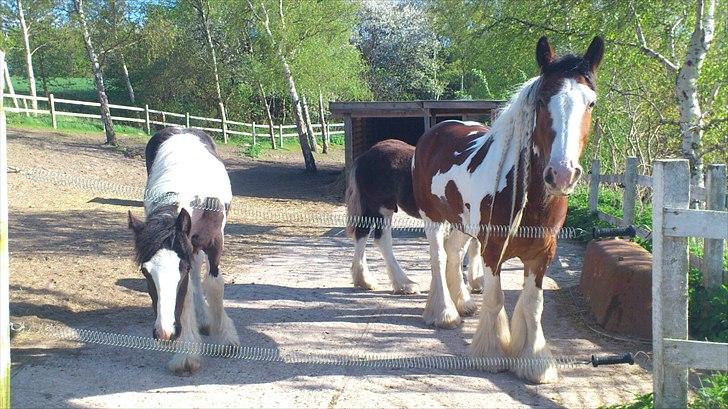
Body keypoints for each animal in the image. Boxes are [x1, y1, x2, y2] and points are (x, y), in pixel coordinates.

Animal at [126, 126, 239, 372]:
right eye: (145, 271)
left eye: (181, 268)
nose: (164, 333)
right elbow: (186, 292)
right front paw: (186, 355)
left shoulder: (215, 241)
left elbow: (214, 285)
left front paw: (226, 340)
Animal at [410, 35, 604, 382]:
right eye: (542, 100)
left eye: (591, 102)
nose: (562, 174)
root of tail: (437, 130)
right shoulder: (492, 250)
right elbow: (496, 298)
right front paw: (491, 354)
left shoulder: (543, 255)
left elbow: (533, 304)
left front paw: (534, 362)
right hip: (433, 218)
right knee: (439, 258)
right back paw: (445, 313)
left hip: (462, 224)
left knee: (453, 253)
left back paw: (462, 304)